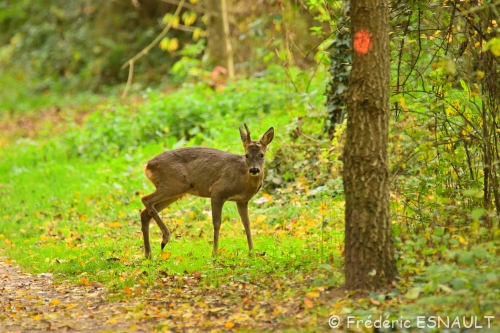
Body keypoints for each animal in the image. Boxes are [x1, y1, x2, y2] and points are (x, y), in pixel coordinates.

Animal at [140, 123, 274, 258]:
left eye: (262, 155)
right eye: (246, 155)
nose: (254, 170)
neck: (243, 181)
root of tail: (147, 166)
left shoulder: (242, 200)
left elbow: (247, 223)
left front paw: (252, 252)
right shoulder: (217, 191)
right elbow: (217, 223)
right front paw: (214, 253)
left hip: (175, 191)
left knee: (145, 213)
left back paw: (149, 254)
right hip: (173, 185)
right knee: (145, 199)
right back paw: (164, 239)